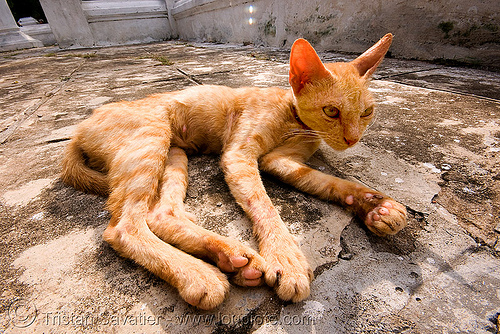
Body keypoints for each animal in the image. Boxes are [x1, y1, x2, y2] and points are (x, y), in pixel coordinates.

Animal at [61, 32, 406, 310]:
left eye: (367, 113)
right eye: (331, 111)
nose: (352, 139)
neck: (295, 120)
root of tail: (79, 129)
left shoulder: (281, 162)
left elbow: (332, 182)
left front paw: (376, 205)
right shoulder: (239, 155)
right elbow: (264, 205)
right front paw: (286, 258)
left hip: (174, 154)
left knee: (159, 214)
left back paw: (227, 256)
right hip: (150, 140)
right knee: (125, 226)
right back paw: (199, 274)